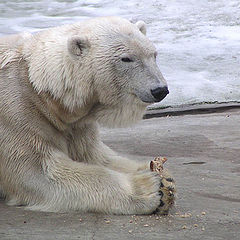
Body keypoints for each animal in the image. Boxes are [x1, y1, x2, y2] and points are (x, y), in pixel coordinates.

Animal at [0, 16, 174, 214]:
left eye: (154, 55)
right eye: (126, 59)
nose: (160, 90)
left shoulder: (77, 124)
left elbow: (97, 156)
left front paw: (164, 180)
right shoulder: (17, 113)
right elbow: (40, 172)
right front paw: (147, 188)